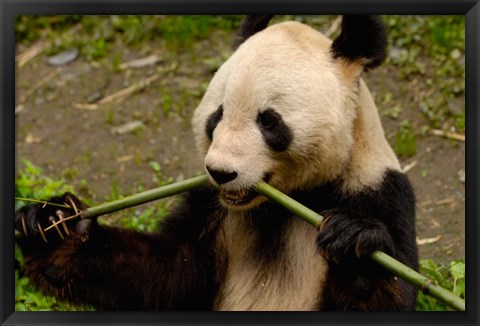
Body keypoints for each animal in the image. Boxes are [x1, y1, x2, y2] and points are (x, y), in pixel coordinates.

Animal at [16, 15, 418, 310]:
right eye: (217, 115)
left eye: (269, 121)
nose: (221, 172)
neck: (283, 203)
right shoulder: (209, 204)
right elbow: (166, 274)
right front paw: (54, 225)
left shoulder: (376, 189)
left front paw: (354, 245)